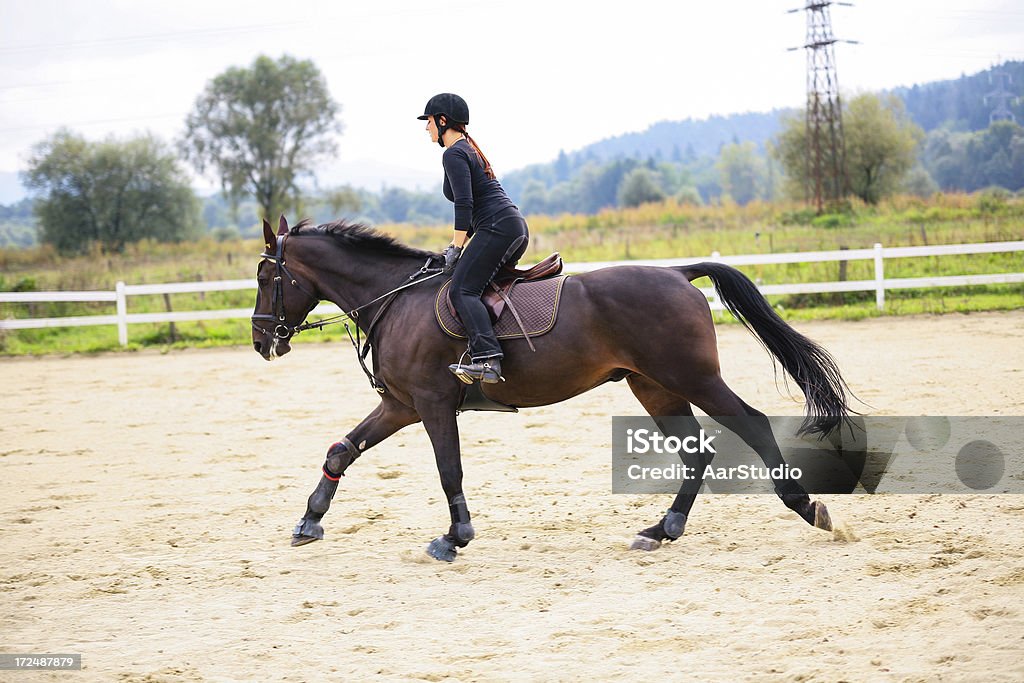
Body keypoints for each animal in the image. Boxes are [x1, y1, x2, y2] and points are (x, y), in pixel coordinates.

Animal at [251, 218, 851, 561]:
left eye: (264, 276)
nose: (261, 341)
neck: (394, 298)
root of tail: (678, 274)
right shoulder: (400, 404)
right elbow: (341, 450)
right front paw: (309, 520)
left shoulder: (433, 404)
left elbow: (449, 470)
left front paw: (455, 537)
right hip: (655, 387)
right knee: (696, 451)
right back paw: (662, 529)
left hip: (691, 377)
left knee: (749, 423)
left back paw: (805, 506)